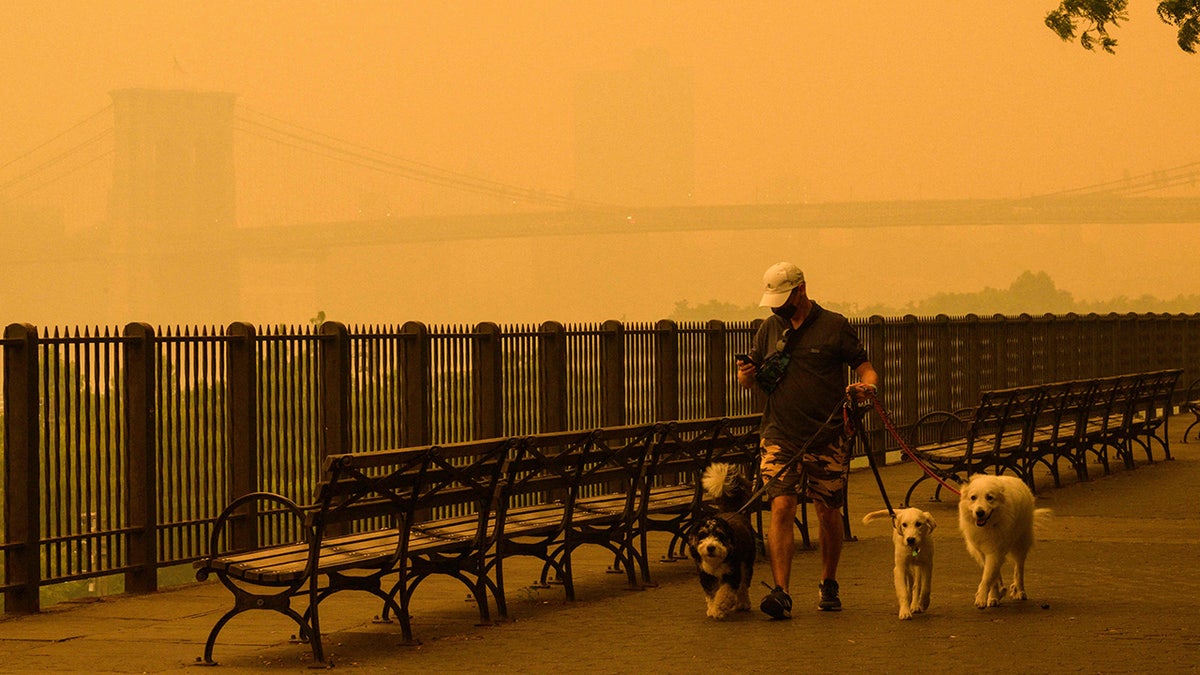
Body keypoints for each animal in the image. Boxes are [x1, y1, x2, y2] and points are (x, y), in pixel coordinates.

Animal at [691, 458, 753, 619]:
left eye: (720, 535)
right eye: (703, 535)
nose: (710, 547)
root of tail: (733, 512)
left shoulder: (732, 573)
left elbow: (724, 592)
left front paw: (719, 609)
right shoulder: (706, 576)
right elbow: (712, 594)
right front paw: (713, 608)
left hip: (747, 562)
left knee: (744, 584)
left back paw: (743, 603)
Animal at [955, 470, 1051, 607]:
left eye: (989, 497)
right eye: (973, 497)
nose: (979, 512)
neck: (989, 525)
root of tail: (1020, 481)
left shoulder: (995, 551)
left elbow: (987, 577)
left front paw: (983, 598)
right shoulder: (983, 553)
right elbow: (992, 576)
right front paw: (994, 596)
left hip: (1020, 544)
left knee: (1019, 569)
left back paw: (1020, 591)